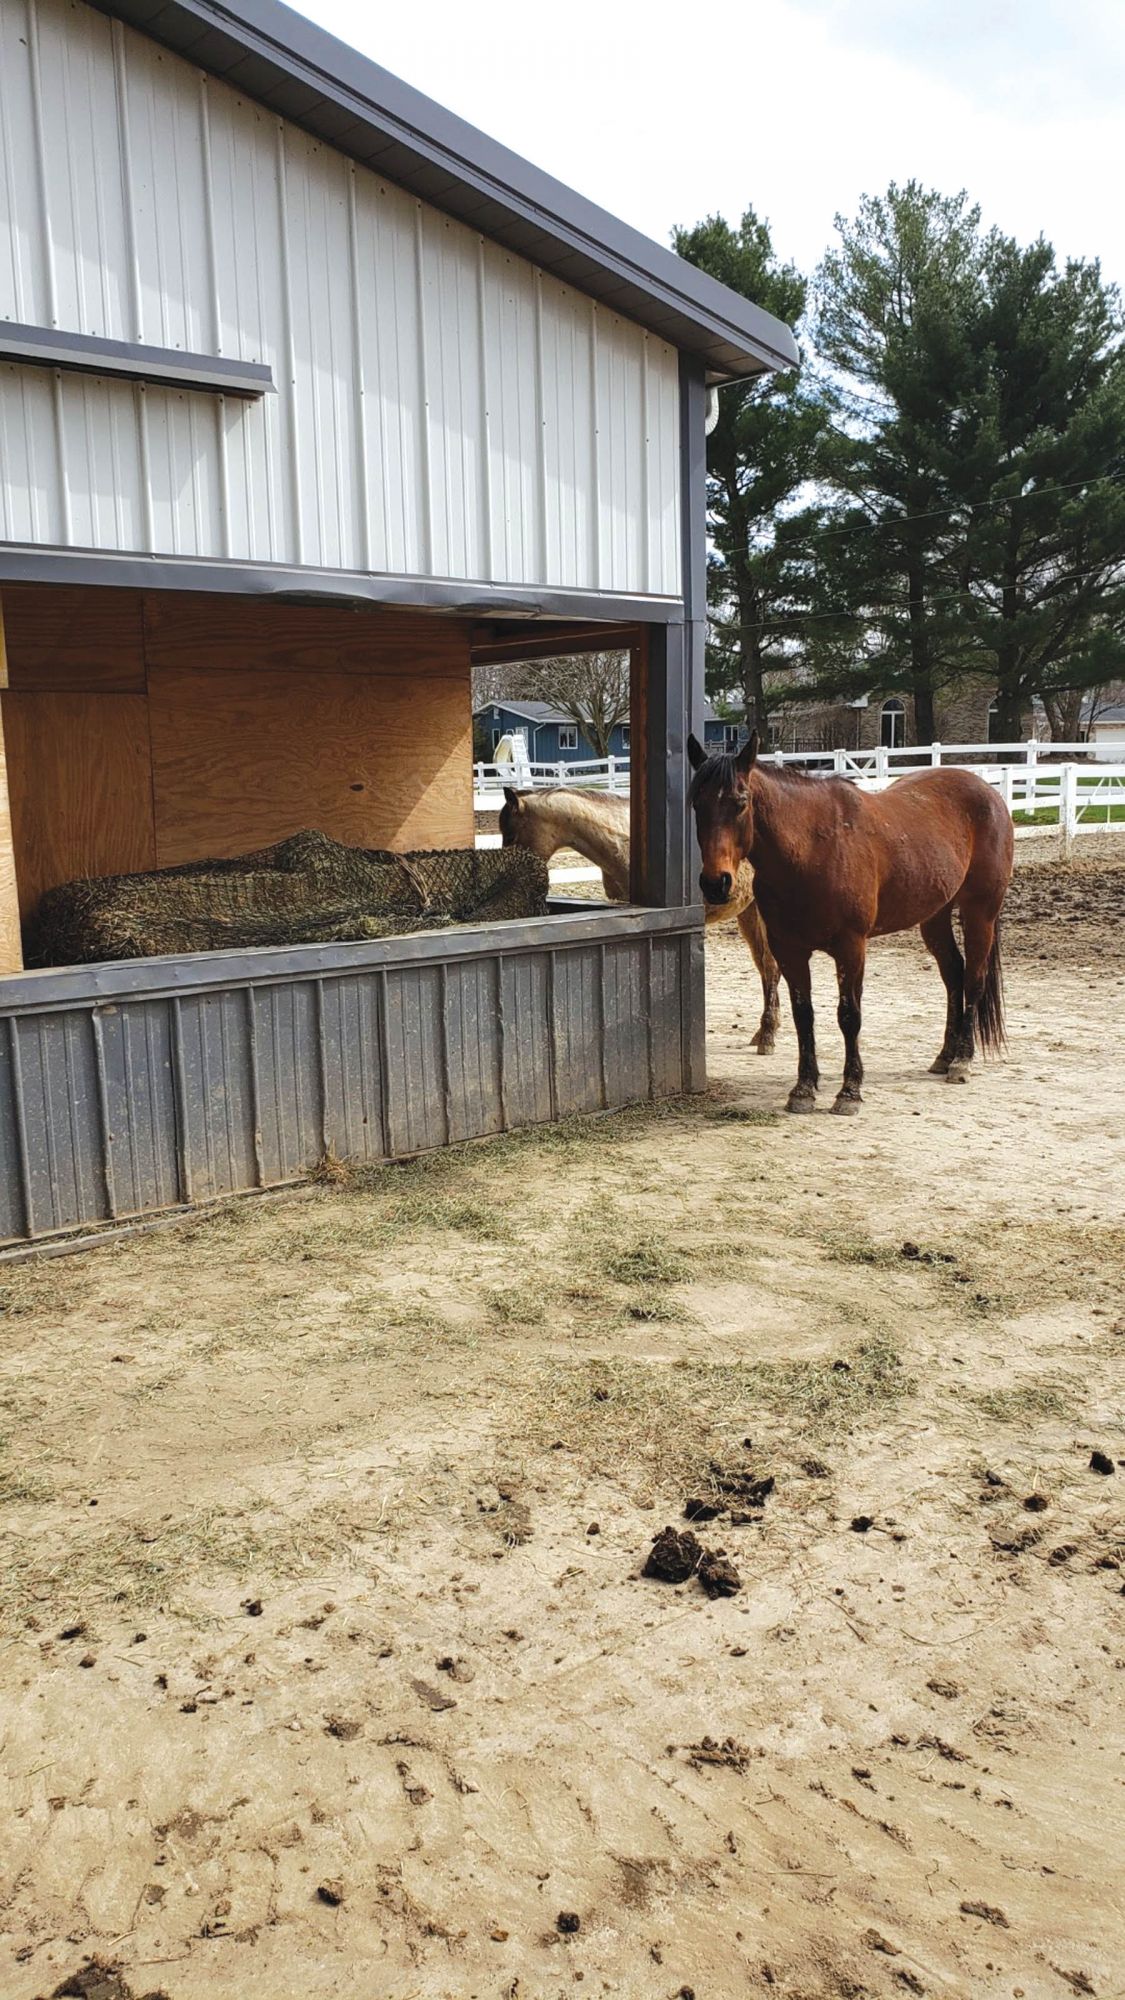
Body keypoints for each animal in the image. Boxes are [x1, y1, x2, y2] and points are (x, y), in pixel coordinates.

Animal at [498, 784, 780, 1056]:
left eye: (511, 836)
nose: (507, 883)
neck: (624, 840)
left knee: (770, 966)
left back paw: (767, 1036)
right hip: (748, 911)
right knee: (763, 966)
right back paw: (762, 1032)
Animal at [680, 732, 1012, 1112]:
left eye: (740, 802)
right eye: (697, 804)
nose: (715, 883)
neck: (812, 849)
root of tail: (989, 793)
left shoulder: (851, 948)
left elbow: (849, 1016)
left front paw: (849, 1091)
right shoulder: (789, 950)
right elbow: (803, 1014)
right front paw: (803, 1089)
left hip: (980, 913)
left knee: (973, 979)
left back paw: (962, 1061)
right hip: (935, 916)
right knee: (953, 975)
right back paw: (944, 1055)